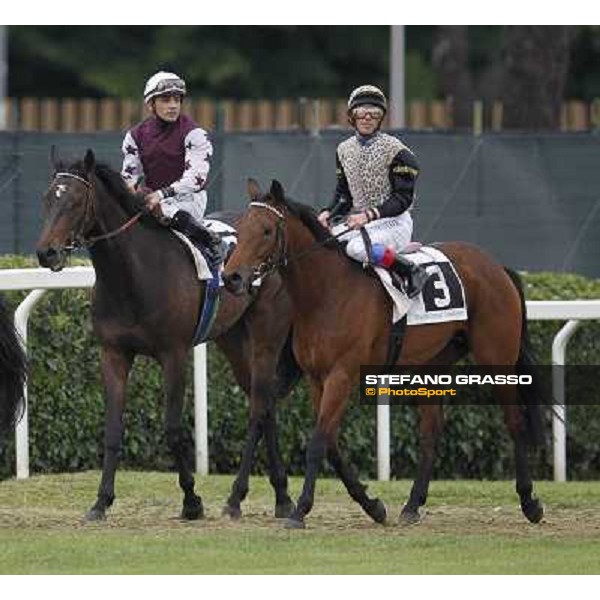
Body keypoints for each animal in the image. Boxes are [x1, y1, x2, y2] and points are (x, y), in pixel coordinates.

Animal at [35, 150, 302, 520]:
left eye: (74, 201)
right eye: (48, 198)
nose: (46, 252)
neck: (133, 276)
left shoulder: (173, 354)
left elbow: (173, 429)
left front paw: (192, 500)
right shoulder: (113, 353)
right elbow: (113, 429)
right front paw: (101, 501)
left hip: (267, 335)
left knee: (262, 406)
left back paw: (255, 497)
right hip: (233, 340)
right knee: (265, 404)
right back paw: (281, 496)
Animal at [223, 180, 548, 528]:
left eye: (267, 230)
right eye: (240, 229)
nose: (232, 278)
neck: (327, 292)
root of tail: (495, 266)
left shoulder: (342, 375)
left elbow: (318, 442)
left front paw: (300, 510)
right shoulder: (316, 378)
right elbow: (331, 442)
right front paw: (372, 505)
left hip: (497, 358)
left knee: (514, 422)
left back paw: (530, 502)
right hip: (430, 366)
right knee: (431, 432)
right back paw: (412, 505)